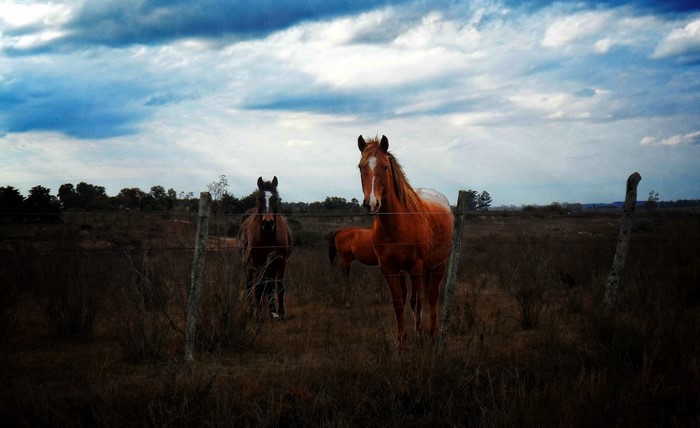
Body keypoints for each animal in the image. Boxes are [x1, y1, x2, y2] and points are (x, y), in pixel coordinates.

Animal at [237, 176, 293, 320]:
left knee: (270, 286)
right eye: (260, 198)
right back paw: (251, 310)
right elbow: (258, 287)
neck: (269, 237)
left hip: (270, 266)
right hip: (249, 264)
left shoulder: (281, 262)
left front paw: (281, 313)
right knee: (250, 284)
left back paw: (273, 311)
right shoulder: (256, 262)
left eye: (275, 198)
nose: (268, 224)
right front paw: (258, 314)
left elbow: (279, 288)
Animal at [356, 135, 455, 346]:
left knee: (432, 297)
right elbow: (398, 302)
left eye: (385, 166)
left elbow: (416, 302)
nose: (371, 204)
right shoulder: (389, 269)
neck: (397, 225)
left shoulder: (415, 268)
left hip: (438, 266)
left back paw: (433, 332)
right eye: (360, 166)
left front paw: (419, 337)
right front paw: (401, 340)